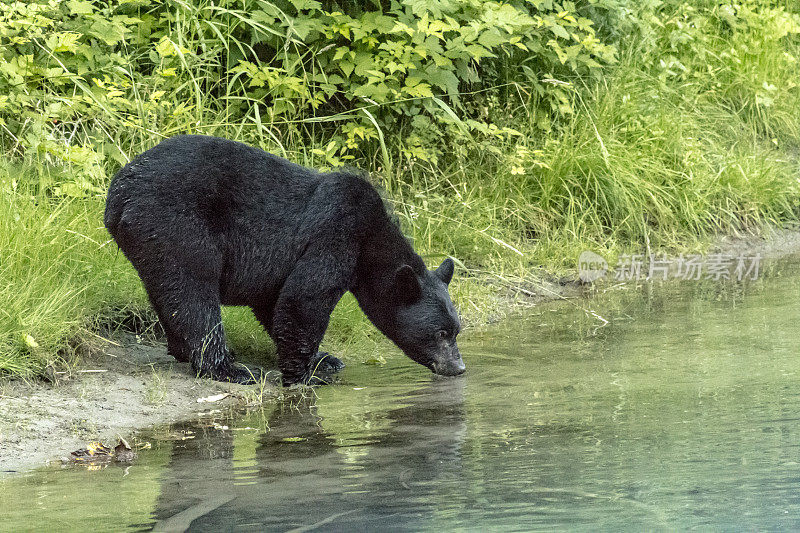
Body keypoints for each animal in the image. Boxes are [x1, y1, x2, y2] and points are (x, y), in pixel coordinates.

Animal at [104, 133, 466, 382]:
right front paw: (304, 374)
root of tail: (119, 193)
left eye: (456, 330)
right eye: (440, 333)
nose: (459, 367)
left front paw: (324, 359)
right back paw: (229, 368)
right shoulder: (337, 233)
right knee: (193, 292)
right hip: (176, 225)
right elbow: (305, 297)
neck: (371, 238)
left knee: (169, 295)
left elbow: (274, 301)